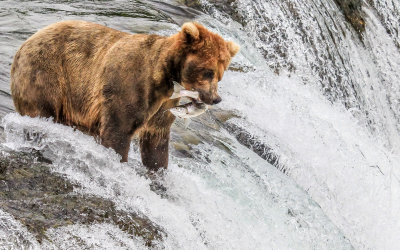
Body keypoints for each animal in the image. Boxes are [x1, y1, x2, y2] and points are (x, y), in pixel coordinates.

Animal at [10, 20, 239, 170]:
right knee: (42, 111)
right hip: (47, 74)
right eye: (208, 71)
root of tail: (24, 43)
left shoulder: (164, 105)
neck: (165, 77)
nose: (215, 99)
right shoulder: (131, 86)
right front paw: (118, 161)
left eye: (220, 74)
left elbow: (156, 143)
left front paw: (158, 172)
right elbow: (118, 131)